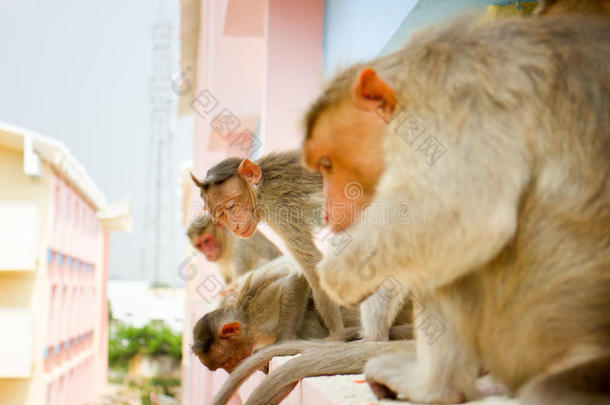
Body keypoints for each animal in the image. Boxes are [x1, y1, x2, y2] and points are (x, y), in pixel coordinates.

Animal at [300, 12, 608, 404]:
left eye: (327, 164)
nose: (327, 212)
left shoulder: (455, 94)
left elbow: (463, 215)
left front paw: (337, 274)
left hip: (530, 328)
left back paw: (435, 386)